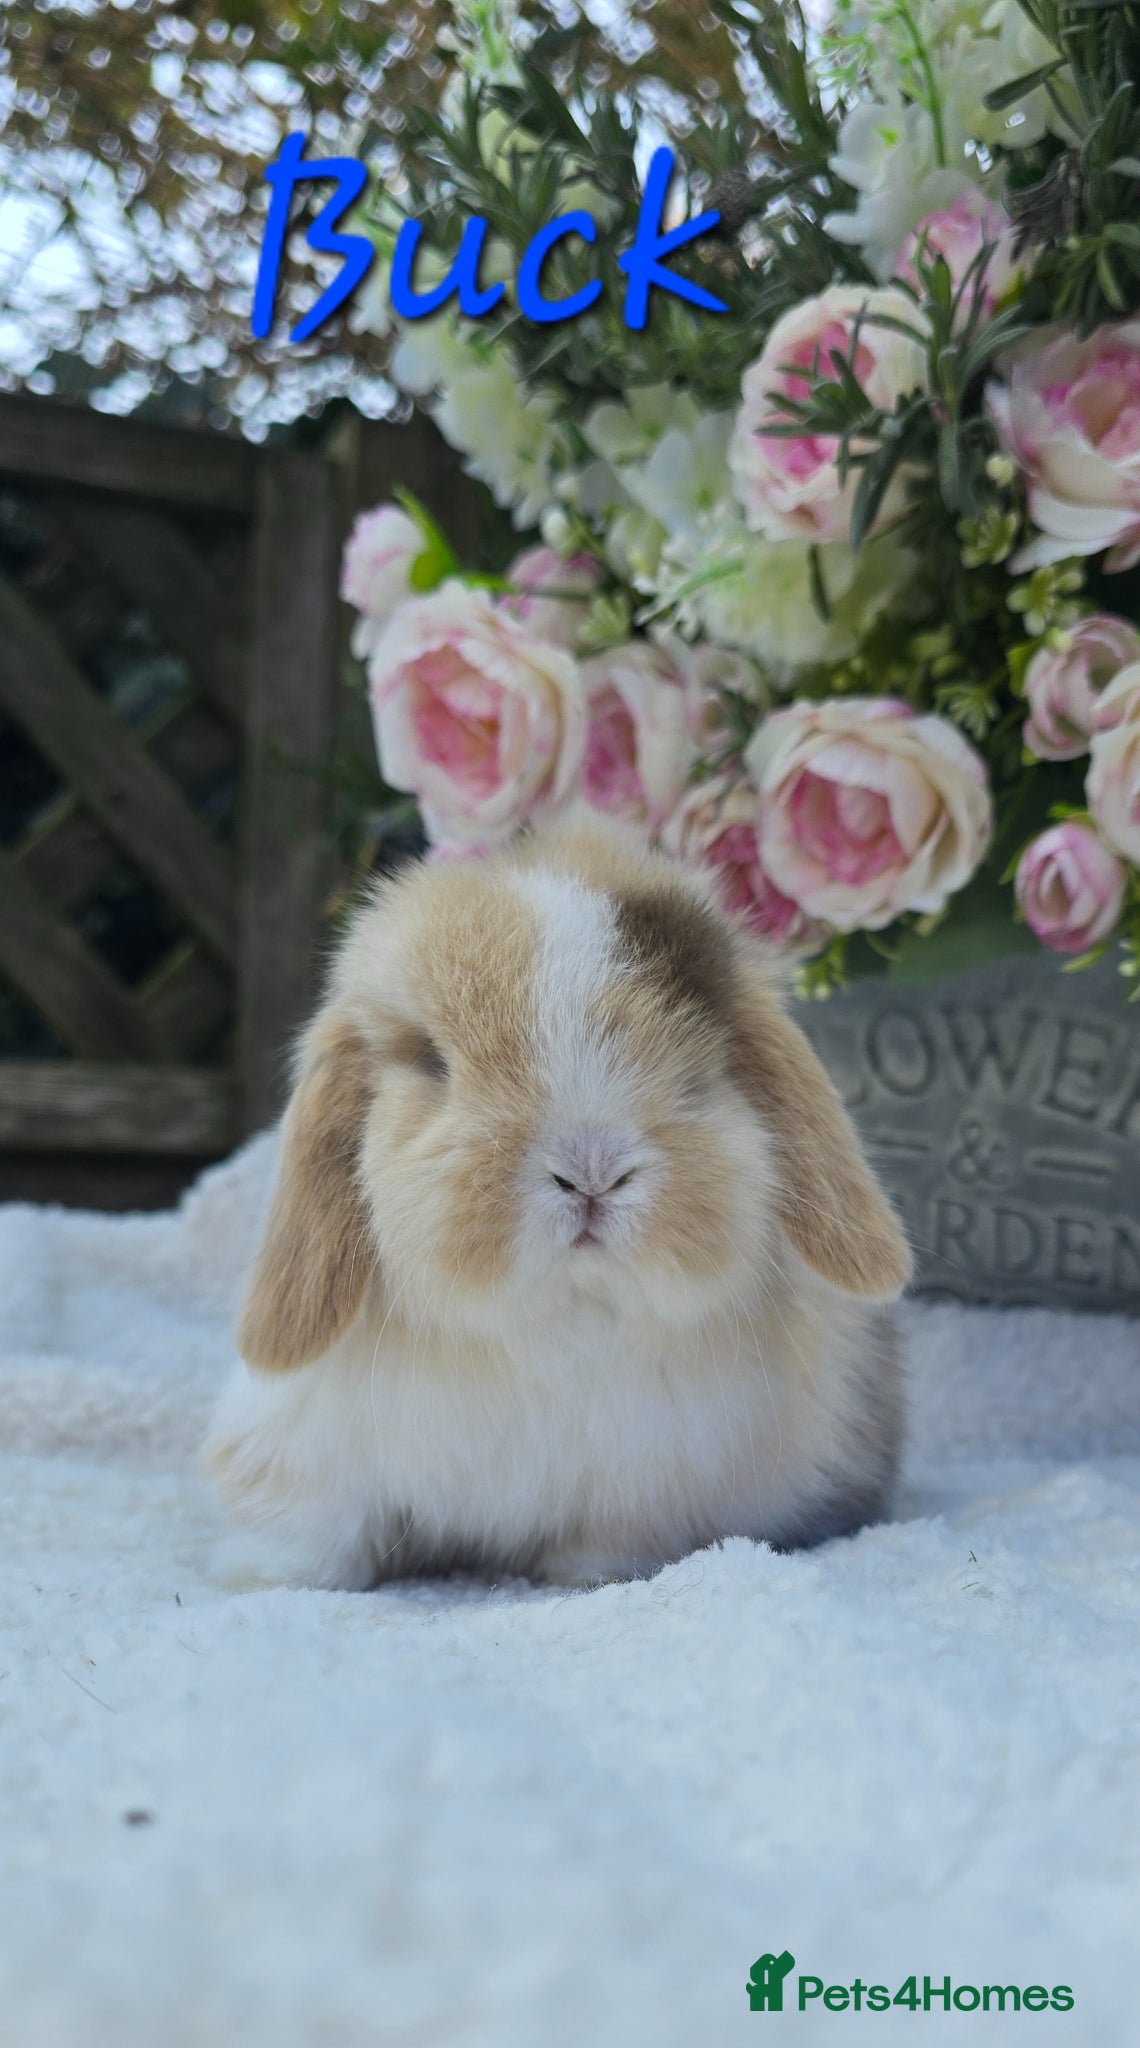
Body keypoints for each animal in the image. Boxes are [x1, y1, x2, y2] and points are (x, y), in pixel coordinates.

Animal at [205, 810, 911, 1590]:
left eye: (699, 1076)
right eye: (433, 1063)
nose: (591, 1170)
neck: (554, 1326)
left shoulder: (651, 1489)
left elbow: (604, 1545)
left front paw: (584, 1578)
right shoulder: (305, 1459)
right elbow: (311, 1534)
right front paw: (263, 1580)